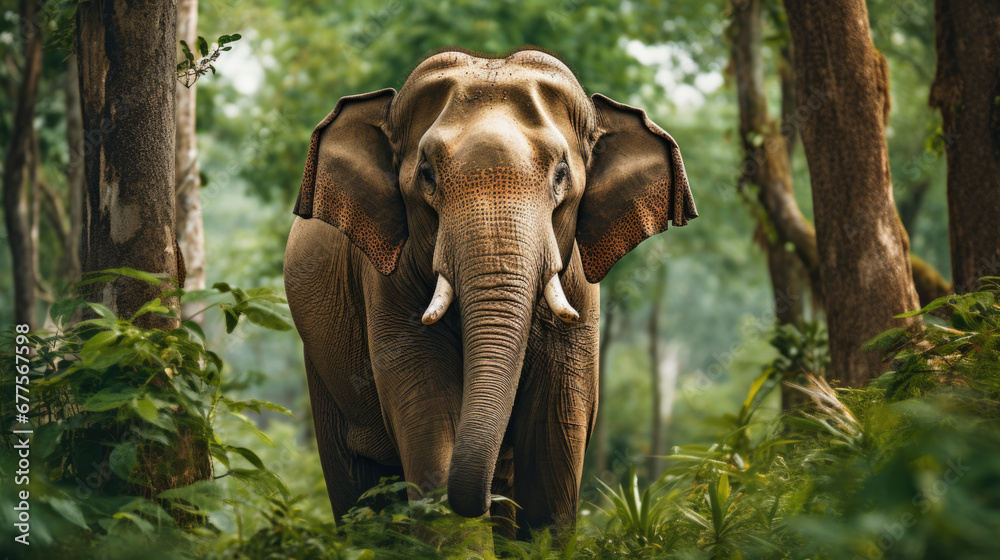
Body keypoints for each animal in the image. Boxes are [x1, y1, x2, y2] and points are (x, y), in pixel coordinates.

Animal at [283, 47, 697, 536]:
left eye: (561, 173)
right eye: (427, 174)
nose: (487, 497)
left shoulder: (579, 293)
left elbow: (554, 444)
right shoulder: (387, 283)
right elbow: (430, 422)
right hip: (320, 363)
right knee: (355, 489)